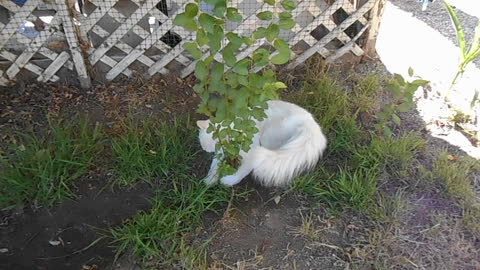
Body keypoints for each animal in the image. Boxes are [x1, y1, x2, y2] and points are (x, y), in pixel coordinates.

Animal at [195, 100, 326, 187]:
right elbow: (214, 164)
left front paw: (228, 181)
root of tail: (311, 124)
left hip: (267, 136)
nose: (206, 151)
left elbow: (242, 171)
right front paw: (210, 178)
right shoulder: (222, 151)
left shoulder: (251, 153)